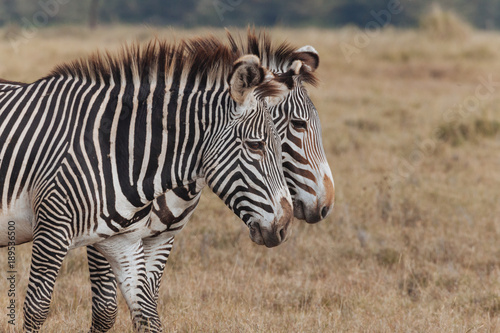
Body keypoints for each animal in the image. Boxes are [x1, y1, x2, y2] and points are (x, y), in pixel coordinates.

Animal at [0, 37, 296, 332]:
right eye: (255, 145)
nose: (284, 227)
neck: (116, 150)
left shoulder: (124, 242)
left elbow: (147, 315)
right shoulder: (51, 230)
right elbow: (37, 309)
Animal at [85, 30, 336, 330]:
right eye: (299, 124)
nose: (326, 205)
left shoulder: (161, 238)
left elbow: (147, 302)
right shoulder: (103, 236)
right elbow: (105, 308)